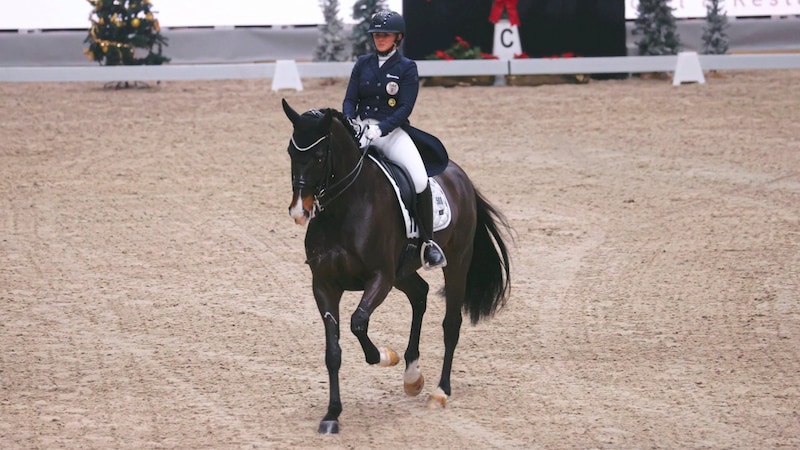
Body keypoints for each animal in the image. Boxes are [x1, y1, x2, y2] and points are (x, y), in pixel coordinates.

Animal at [282, 99, 512, 436]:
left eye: (320, 156)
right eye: (290, 152)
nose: (299, 211)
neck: (345, 208)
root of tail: (461, 177)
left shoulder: (380, 278)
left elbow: (358, 323)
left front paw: (383, 356)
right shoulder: (324, 284)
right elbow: (333, 352)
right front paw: (332, 415)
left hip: (456, 262)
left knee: (451, 323)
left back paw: (440, 391)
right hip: (403, 272)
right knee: (420, 293)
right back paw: (412, 376)